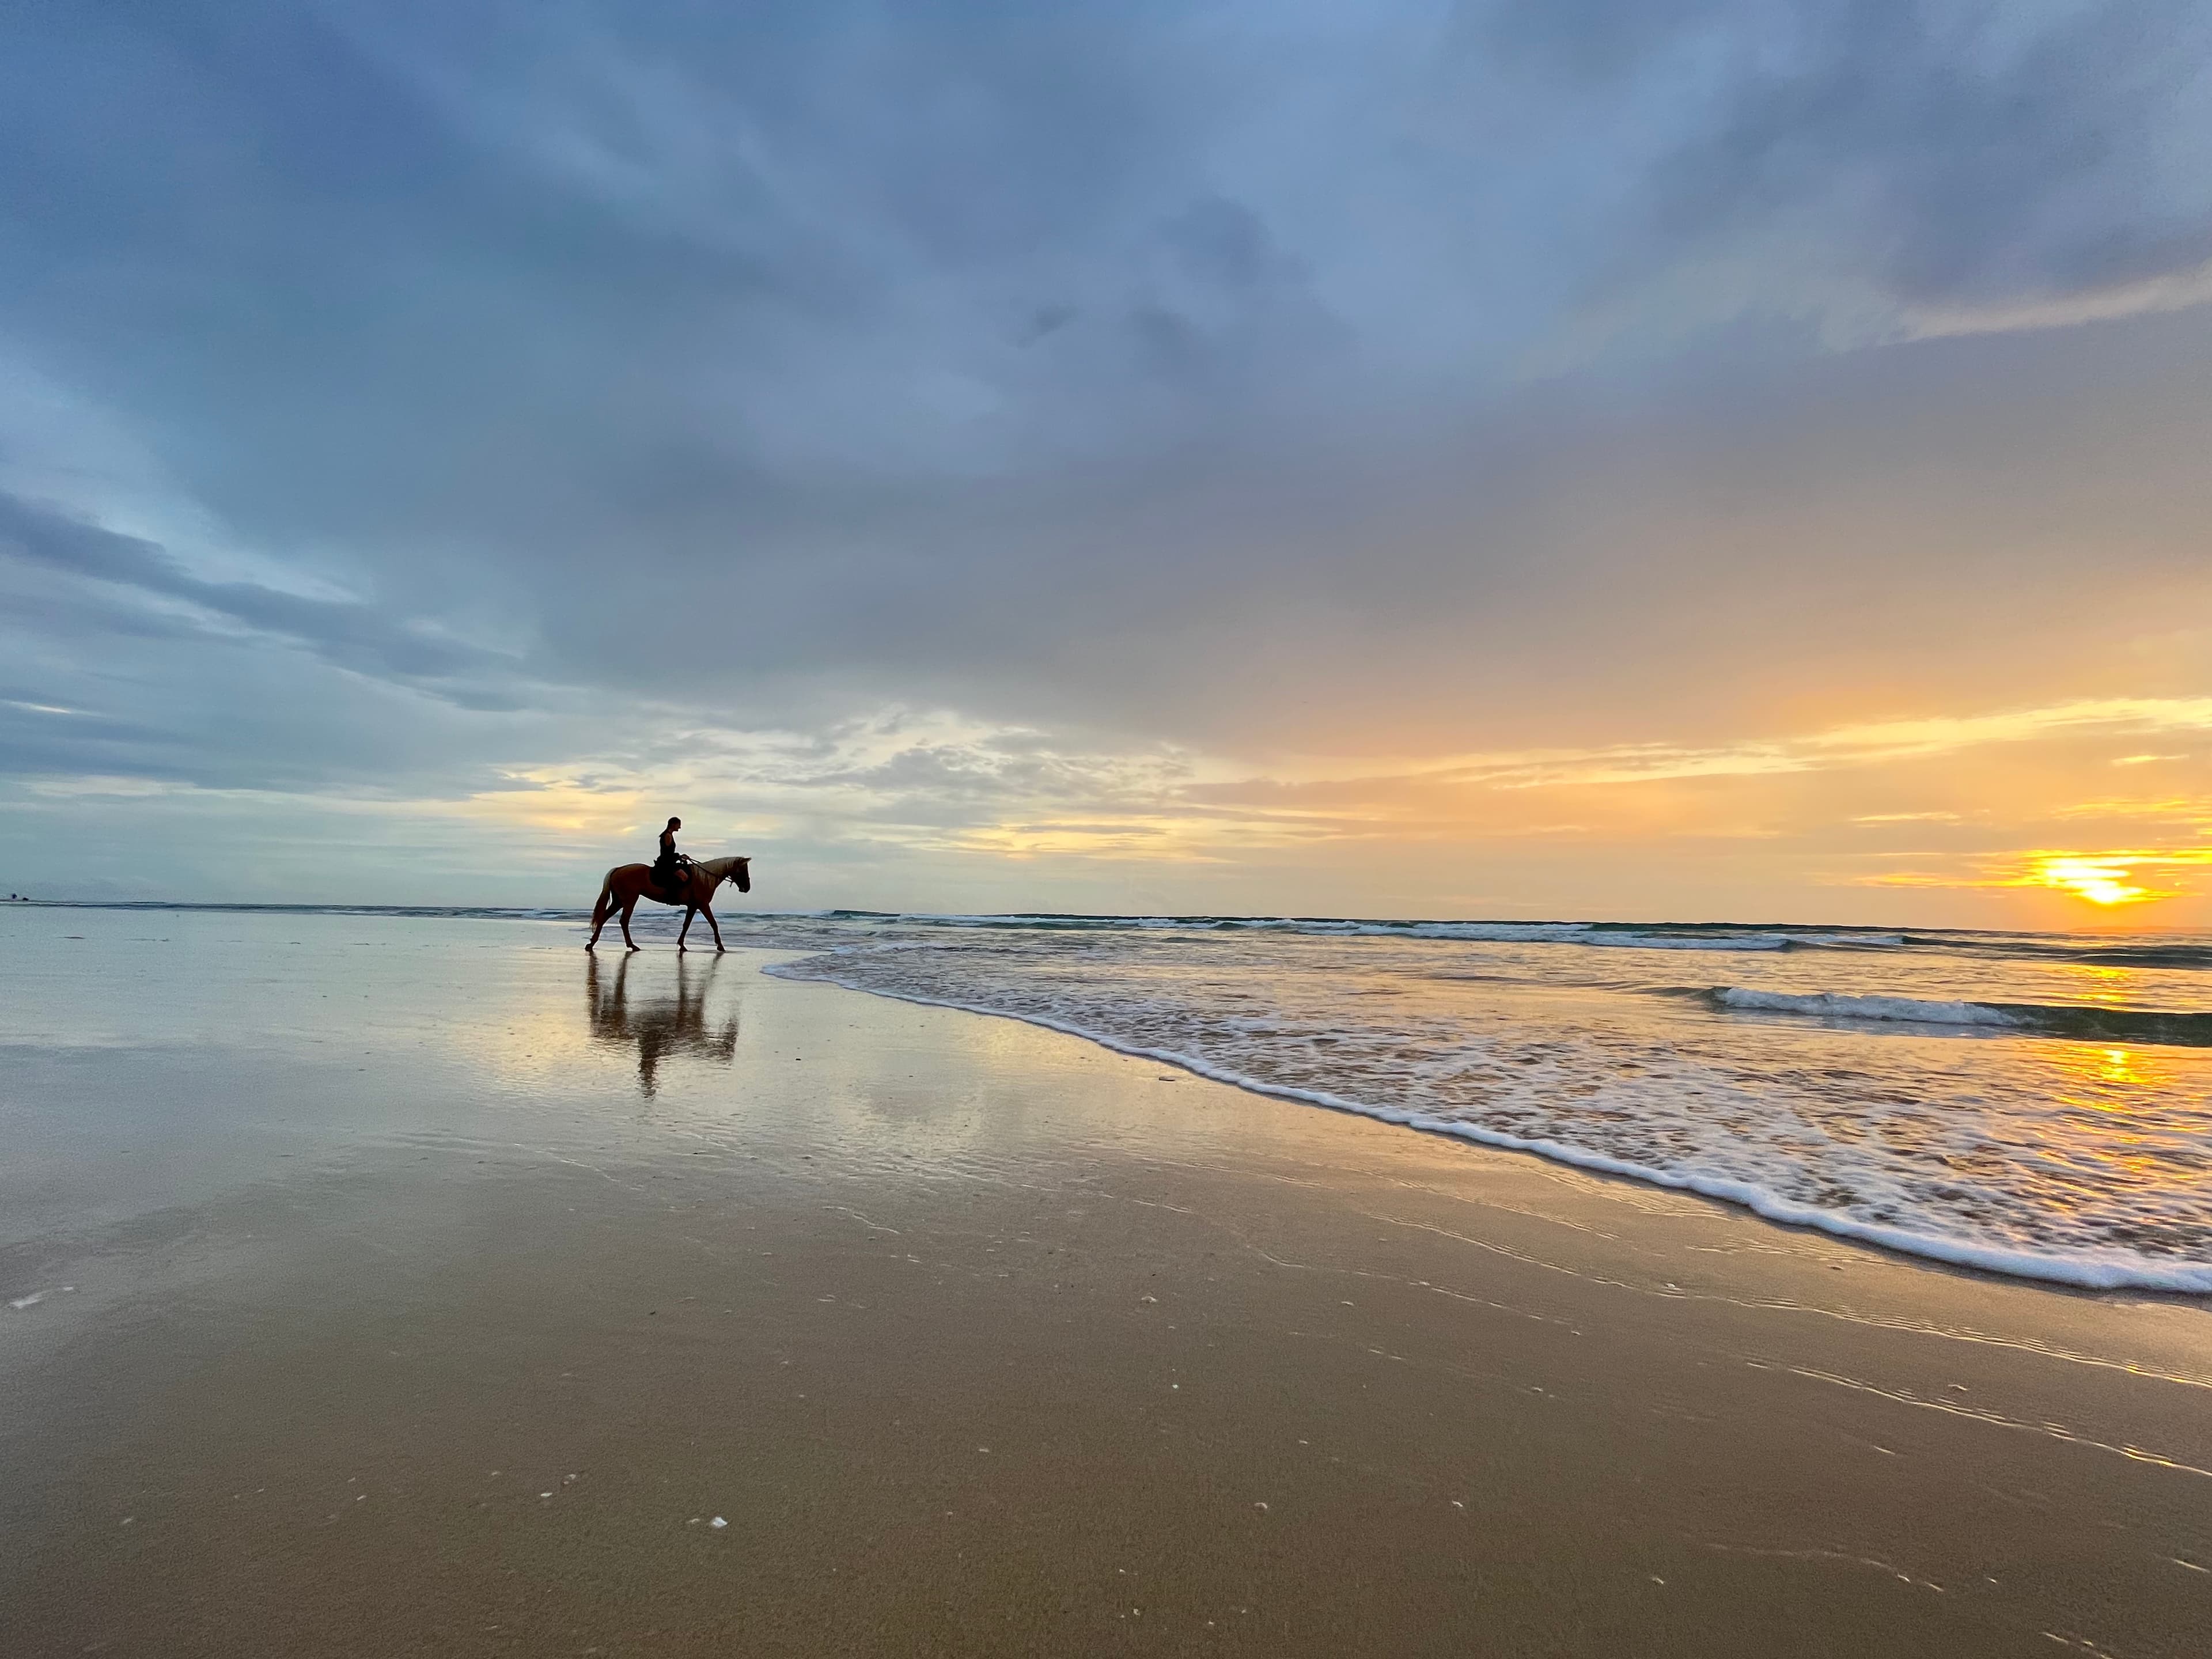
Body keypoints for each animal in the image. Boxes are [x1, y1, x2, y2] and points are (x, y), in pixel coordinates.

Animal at [587, 854, 751, 953]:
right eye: (743, 870)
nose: (747, 888)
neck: (704, 877)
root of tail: (618, 869)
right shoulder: (703, 905)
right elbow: (714, 923)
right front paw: (720, 946)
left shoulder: (693, 906)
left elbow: (686, 925)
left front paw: (682, 945)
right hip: (629, 900)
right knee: (624, 920)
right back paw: (632, 945)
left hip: (619, 901)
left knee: (605, 917)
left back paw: (592, 943)